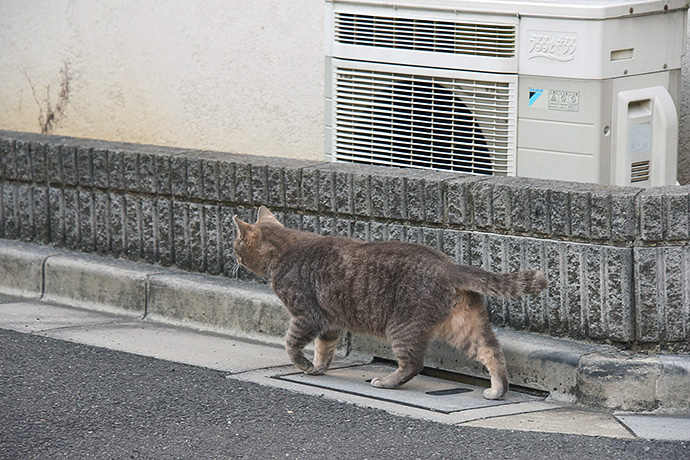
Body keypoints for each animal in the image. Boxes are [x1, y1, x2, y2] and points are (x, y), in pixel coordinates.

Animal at [234, 207, 544, 400]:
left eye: (236, 243)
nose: (233, 254)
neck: (286, 250)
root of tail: (449, 265)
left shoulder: (307, 316)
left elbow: (291, 344)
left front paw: (304, 365)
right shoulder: (330, 323)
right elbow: (325, 349)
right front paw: (319, 368)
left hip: (403, 326)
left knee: (413, 364)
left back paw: (386, 382)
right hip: (465, 325)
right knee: (492, 352)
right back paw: (498, 390)